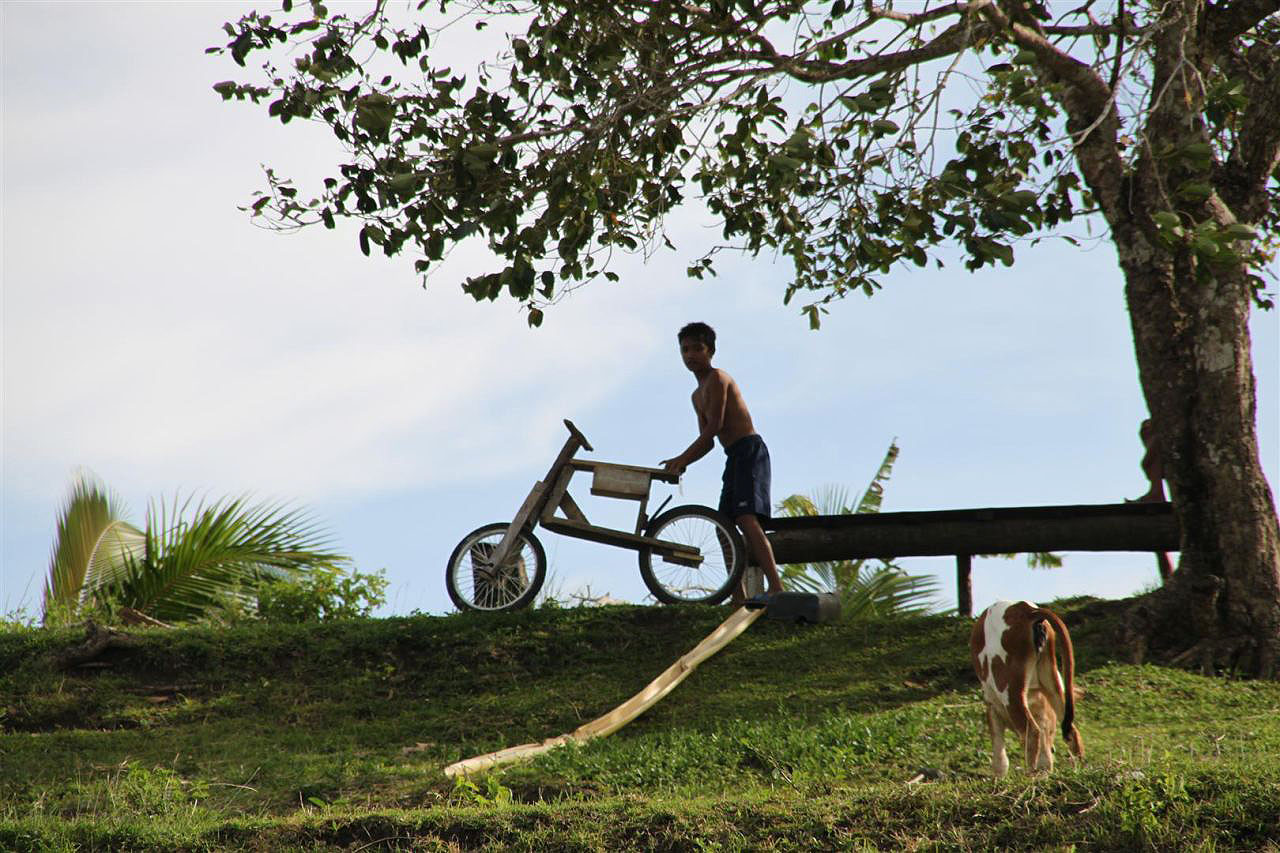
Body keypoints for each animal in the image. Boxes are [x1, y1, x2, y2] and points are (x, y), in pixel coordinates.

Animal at [967, 596, 1080, 768]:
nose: (1052, 749)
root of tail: (1028, 610)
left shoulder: (992, 703)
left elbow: (1000, 759)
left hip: (1009, 692)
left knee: (1032, 733)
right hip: (1052, 682)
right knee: (1072, 732)